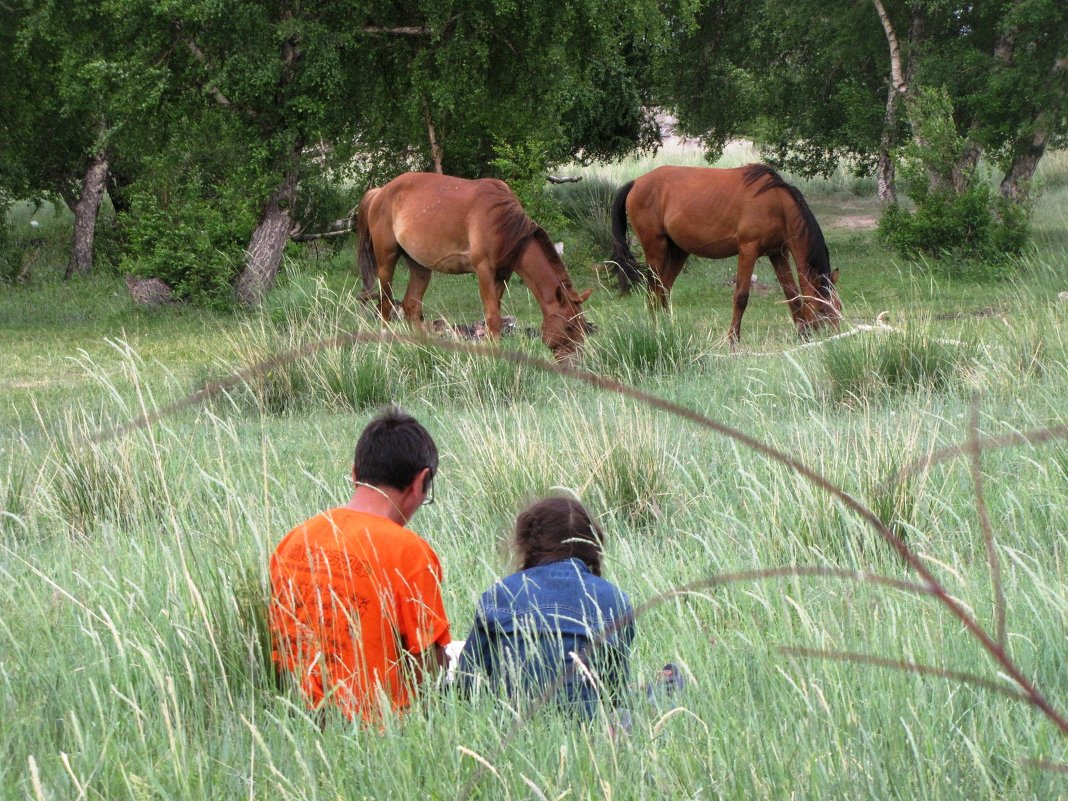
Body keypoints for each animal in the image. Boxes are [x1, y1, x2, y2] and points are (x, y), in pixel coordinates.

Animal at [358, 175, 593, 363]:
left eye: (583, 326)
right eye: (569, 327)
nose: (576, 360)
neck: (504, 225)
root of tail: (380, 192)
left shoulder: (502, 275)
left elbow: (494, 316)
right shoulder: (484, 271)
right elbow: (493, 318)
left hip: (420, 267)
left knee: (411, 306)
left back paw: (423, 348)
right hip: (386, 262)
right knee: (386, 306)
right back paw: (385, 346)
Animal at [610, 166, 841, 346]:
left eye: (838, 306)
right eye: (822, 308)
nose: (837, 339)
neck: (775, 202)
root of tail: (636, 182)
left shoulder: (778, 253)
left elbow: (791, 293)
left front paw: (802, 334)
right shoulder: (748, 250)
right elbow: (741, 297)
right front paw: (733, 340)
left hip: (678, 252)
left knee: (663, 289)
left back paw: (669, 329)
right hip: (656, 251)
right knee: (652, 291)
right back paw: (655, 331)